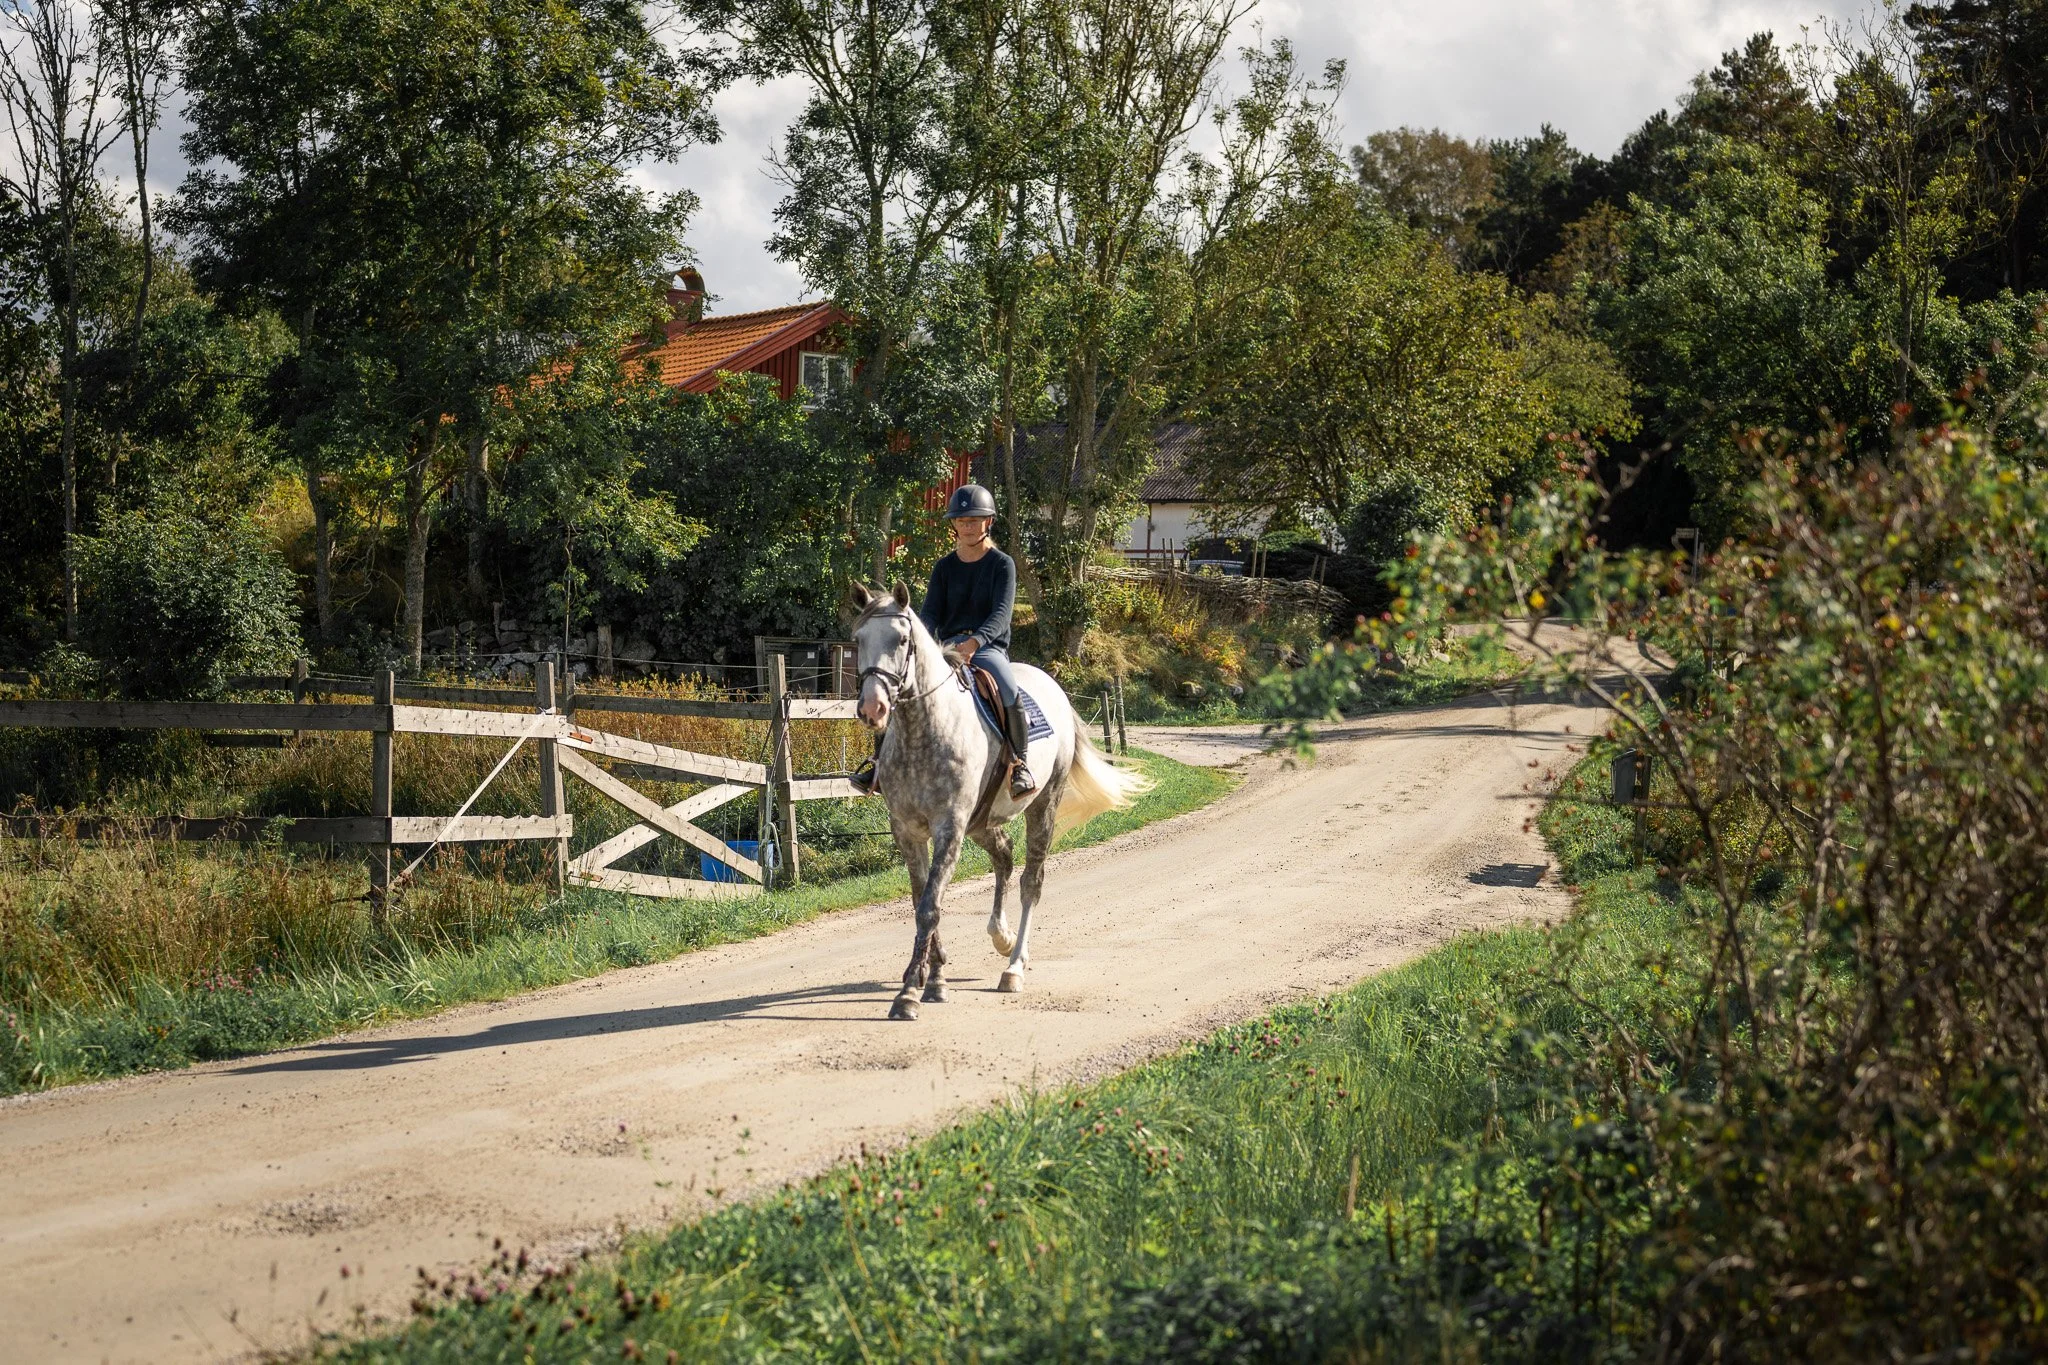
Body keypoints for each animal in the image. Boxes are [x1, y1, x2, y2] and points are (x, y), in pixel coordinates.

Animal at [850, 580, 1151, 1021]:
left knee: (1030, 882)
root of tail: (1054, 688)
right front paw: (934, 980)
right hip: (982, 822)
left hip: (1042, 807)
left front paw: (908, 993)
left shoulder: (949, 827)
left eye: (902, 640)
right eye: (858, 640)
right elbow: (922, 900)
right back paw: (1001, 937)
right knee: (1005, 858)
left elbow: (930, 906)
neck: (925, 731)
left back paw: (1014, 966)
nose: (873, 708)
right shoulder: (907, 831)